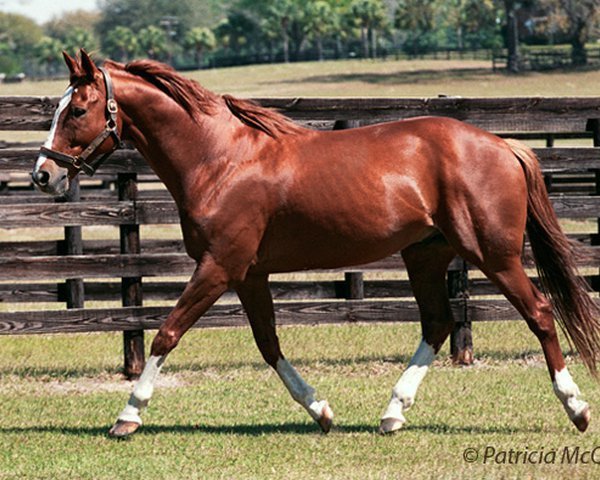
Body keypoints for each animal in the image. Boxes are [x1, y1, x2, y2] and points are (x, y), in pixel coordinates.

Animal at [30, 49, 596, 438]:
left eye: (77, 110)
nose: (42, 174)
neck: (219, 158)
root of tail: (503, 144)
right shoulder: (248, 274)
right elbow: (268, 345)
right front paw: (321, 411)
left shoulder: (218, 266)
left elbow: (166, 334)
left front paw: (127, 416)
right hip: (426, 253)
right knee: (437, 323)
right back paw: (391, 414)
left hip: (492, 254)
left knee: (539, 312)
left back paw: (577, 407)